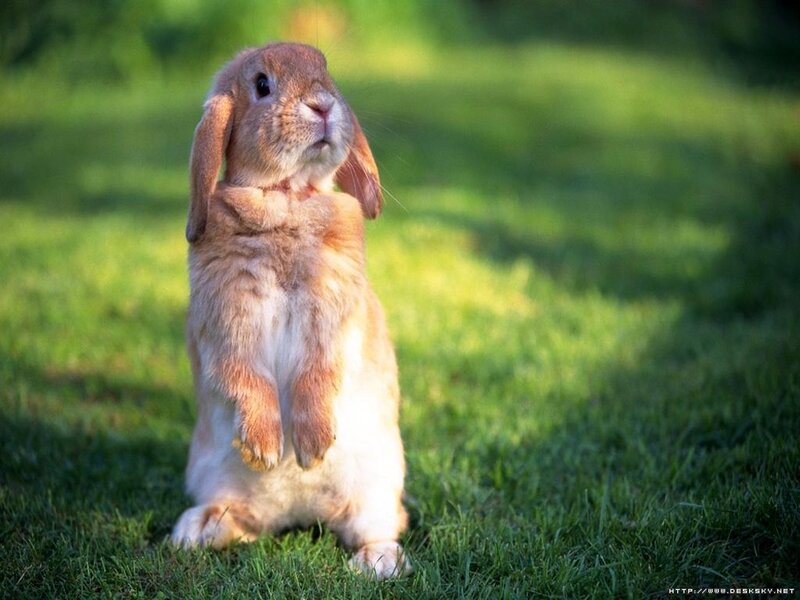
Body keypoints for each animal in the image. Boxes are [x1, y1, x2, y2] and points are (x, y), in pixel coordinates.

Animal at [170, 43, 410, 579]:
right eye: (262, 85)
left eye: (326, 72)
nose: (322, 105)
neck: (285, 197)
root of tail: (299, 514)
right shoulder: (228, 323)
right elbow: (246, 377)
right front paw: (264, 448)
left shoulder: (331, 320)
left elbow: (316, 375)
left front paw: (313, 447)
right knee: (242, 522)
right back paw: (197, 529)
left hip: (378, 489)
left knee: (379, 525)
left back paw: (377, 561)